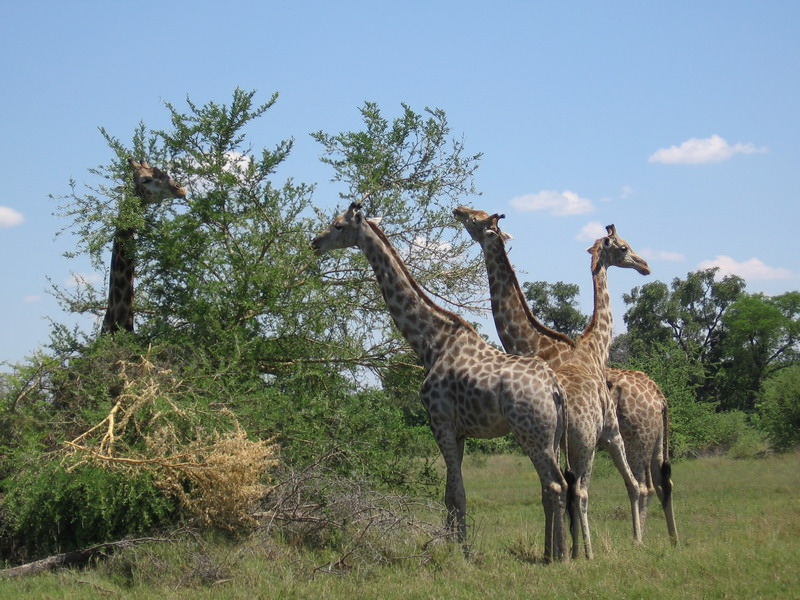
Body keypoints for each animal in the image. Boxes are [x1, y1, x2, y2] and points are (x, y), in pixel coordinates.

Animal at [310, 203, 568, 564]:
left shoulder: (440, 422)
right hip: (553, 437)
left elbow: (457, 494)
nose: (315, 242)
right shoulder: (458, 432)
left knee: (555, 486)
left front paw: (461, 554)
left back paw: (558, 556)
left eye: (337, 226)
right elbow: (449, 493)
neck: (430, 342)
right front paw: (449, 546)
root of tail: (555, 389)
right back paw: (554, 551)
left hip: (533, 434)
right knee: (554, 486)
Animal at [454, 205, 680, 544]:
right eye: (624, 247)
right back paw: (669, 540)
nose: (645, 265)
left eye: (476, 219)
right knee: (660, 482)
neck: (535, 344)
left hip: (633, 439)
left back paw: (637, 540)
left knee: (642, 485)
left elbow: (557, 491)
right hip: (651, 441)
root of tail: (660, 397)